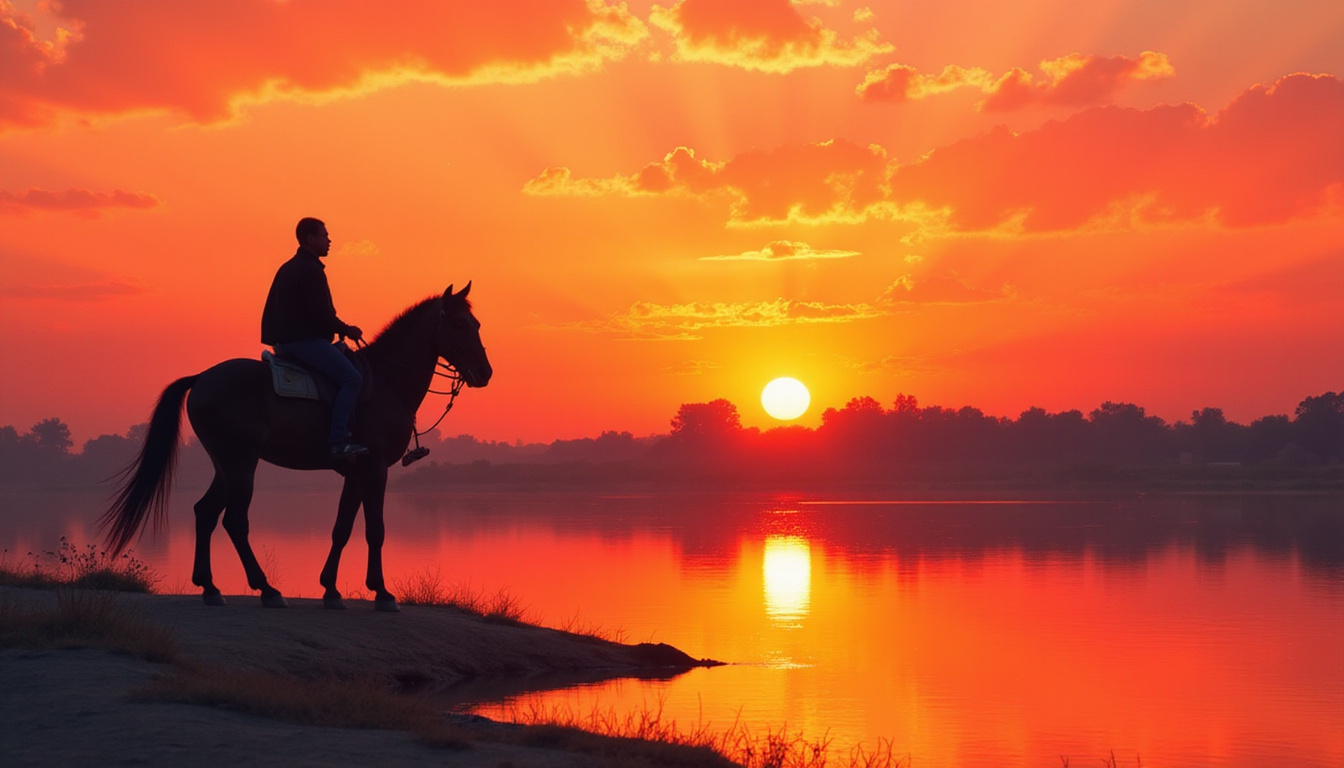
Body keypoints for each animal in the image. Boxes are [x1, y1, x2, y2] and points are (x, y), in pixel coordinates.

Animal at [100, 283, 492, 611]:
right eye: (459, 323)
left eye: (476, 322)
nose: (485, 372)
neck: (386, 381)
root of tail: (202, 379)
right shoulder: (376, 469)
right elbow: (375, 530)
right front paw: (382, 593)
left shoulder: (356, 472)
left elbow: (342, 528)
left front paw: (331, 590)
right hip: (241, 464)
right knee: (234, 521)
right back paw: (267, 589)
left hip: (225, 465)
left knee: (205, 512)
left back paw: (210, 587)